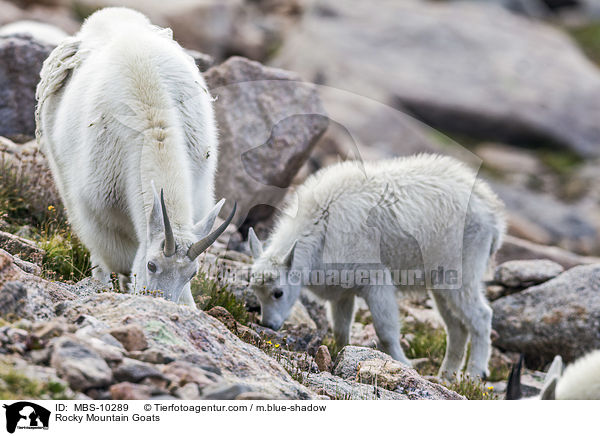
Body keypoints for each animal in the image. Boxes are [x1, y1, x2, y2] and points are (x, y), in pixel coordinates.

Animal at [33, 7, 234, 306]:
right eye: (152, 265)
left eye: (193, 273)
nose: (163, 302)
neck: (154, 123)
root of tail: (106, 14)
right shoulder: (99, 208)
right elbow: (118, 258)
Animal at [250, 155, 506, 376]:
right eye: (255, 292)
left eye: (278, 293)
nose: (269, 325)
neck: (320, 225)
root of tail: (493, 215)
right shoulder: (342, 291)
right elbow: (341, 329)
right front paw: (341, 354)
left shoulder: (376, 280)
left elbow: (386, 330)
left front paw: (403, 363)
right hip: (440, 282)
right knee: (457, 327)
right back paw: (447, 376)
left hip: (462, 272)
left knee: (481, 316)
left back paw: (475, 374)